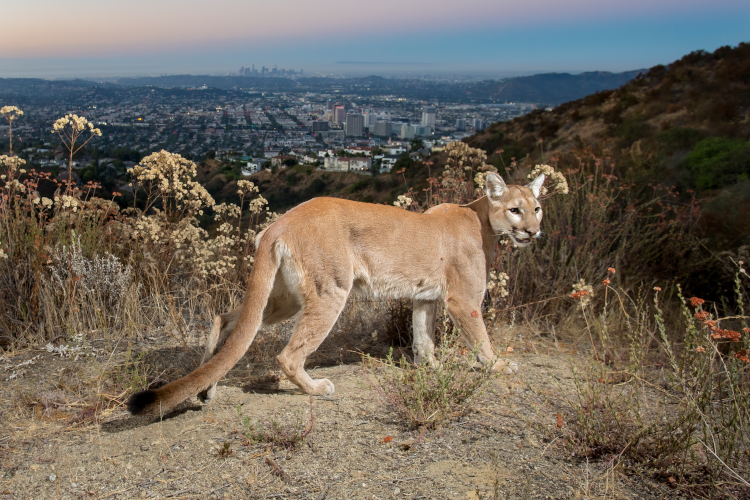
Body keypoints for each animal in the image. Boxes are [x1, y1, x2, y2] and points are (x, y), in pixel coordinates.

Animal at [126, 172, 544, 414]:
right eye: (515, 210)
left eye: (538, 208)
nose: (534, 231)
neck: (481, 218)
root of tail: (280, 222)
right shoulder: (463, 300)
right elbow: (481, 338)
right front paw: (498, 366)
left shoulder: (425, 297)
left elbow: (423, 336)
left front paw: (433, 367)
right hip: (330, 291)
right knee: (287, 355)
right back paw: (315, 388)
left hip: (283, 297)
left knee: (228, 321)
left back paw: (207, 387)